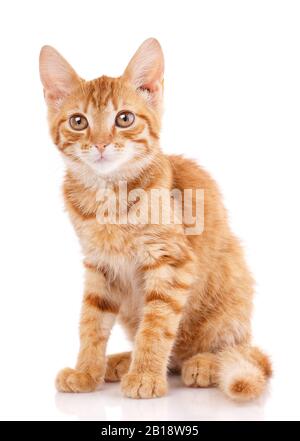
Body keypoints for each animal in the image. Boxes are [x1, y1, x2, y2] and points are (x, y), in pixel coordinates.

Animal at [38, 39, 270, 400]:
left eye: (124, 118)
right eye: (78, 121)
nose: (101, 144)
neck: (109, 196)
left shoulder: (171, 262)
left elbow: (157, 325)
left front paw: (146, 375)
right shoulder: (99, 265)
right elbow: (91, 323)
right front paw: (86, 372)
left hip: (231, 289)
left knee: (235, 350)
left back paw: (204, 363)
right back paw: (121, 361)